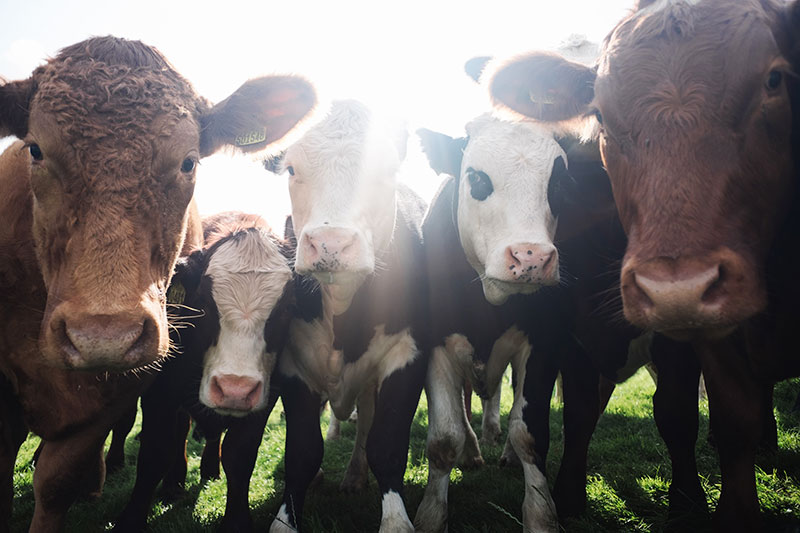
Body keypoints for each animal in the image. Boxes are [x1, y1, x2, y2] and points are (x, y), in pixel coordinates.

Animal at [113, 212, 296, 532]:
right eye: (206, 304)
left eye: (285, 309)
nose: (234, 389)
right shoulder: (161, 391)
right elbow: (155, 451)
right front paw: (131, 520)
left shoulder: (266, 397)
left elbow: (240, 454)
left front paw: (236, 521)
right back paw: (173, 482)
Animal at [270, 101, 432, 532]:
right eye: (291, 169)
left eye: (387, 170)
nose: (331, 243)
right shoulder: (293, 364)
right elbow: (302, 452)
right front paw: (284, 519)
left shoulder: (407, 355)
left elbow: (386, 444)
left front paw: (395, 520)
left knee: (365, 423)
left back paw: (355, 475)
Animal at [484, 0, 800, 528]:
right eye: (599, 111)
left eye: (774, 80)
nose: (678, 287)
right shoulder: (574, 328)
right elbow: (581, 411)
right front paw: (569, 497)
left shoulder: (681, 339)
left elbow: (677, 412)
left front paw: (688, 502)